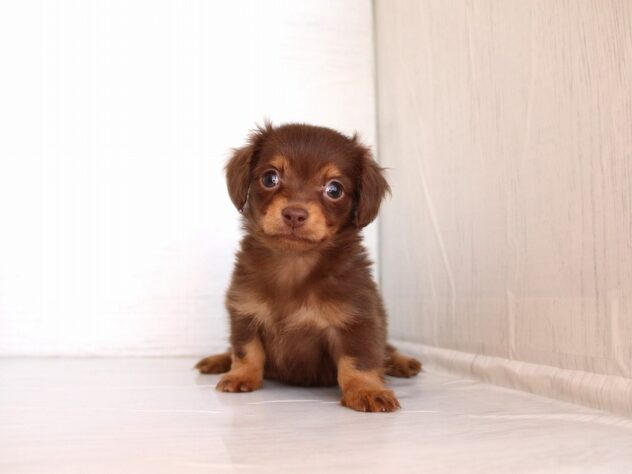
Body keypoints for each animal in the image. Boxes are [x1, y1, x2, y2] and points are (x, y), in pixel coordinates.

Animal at [195, 122, 421, 412]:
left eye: (334, 189)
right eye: (270, 178)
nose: (294, 214)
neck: (294, 264)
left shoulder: (358, 321)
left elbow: (359, 361)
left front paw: (366, 390)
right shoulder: (244, 312)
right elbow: (246, 351)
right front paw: (240, 375)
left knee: (386, 350)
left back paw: (401, 362)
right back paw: (219, 360)